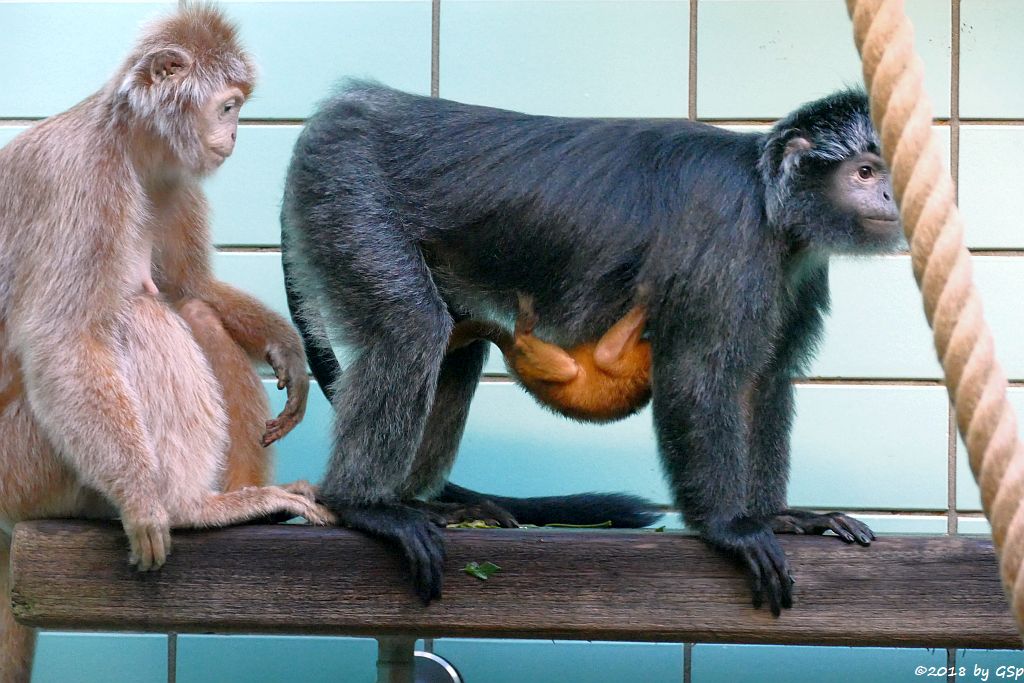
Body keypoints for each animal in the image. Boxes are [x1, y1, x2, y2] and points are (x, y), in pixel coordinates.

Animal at [0, 7, 333, 679]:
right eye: (228, 106)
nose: (234, 135)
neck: (130, 148)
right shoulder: (84, 180)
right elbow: (61, 340)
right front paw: (144, 503)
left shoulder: (171, 178)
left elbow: (191, 289)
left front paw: (287, 347)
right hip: (23, 467)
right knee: (134, 314)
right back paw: (186, 507)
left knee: (193, 312)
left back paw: (246, 499)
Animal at [448, 294, 647, 421]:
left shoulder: (640, 364)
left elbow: (604, 355)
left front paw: (645, 295)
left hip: (531, 365)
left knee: (569, 369)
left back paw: (522, 331)